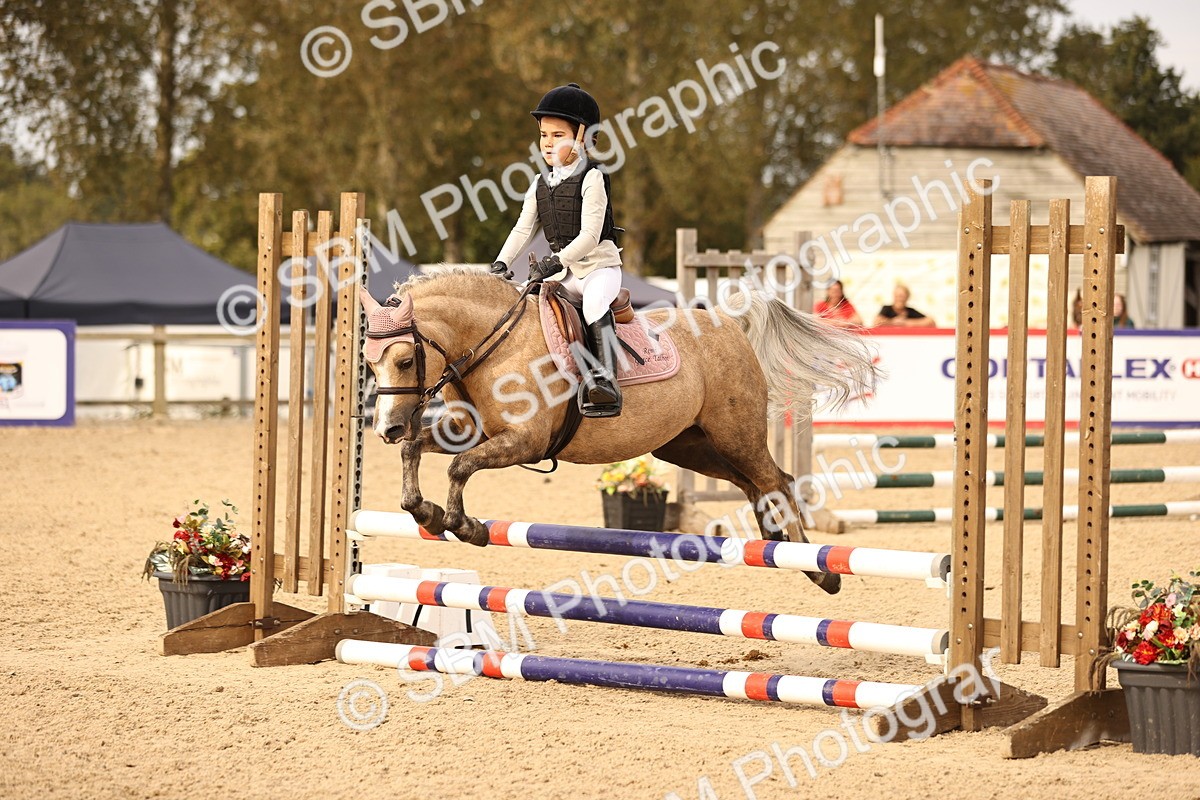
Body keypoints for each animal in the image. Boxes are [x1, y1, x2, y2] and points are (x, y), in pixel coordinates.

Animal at [359, 270, 877, 594]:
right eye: (368, 362)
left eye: (403, 361)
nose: (386, 427)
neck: (493, 345)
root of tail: (729, 322)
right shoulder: (467, 428)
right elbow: (416, 451)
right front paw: (425, 512)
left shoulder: (523, 442)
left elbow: (460, 468)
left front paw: (465, 526)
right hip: (689, 447)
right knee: (758, 485)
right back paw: (774, 540)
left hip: (735, 435)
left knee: (775, 480)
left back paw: (819, 570)